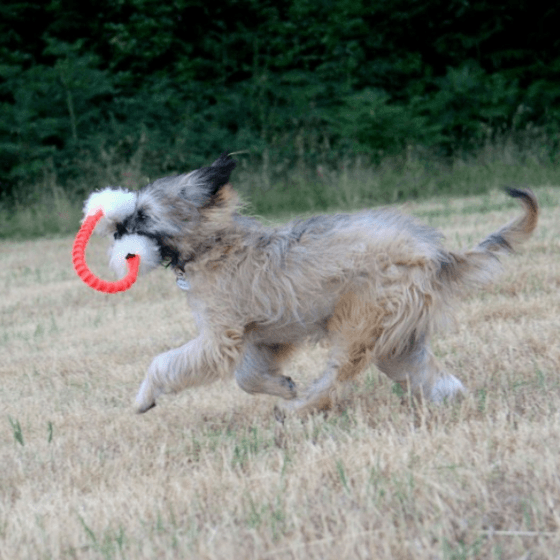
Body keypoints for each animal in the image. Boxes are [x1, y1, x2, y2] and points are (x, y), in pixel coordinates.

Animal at [83, 153, 540, 416]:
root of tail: (434, 255)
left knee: (337, 377)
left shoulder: (220, 337)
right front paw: (281, 386)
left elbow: (166, 363)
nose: (115, 230)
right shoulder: (263, 337)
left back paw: (301, 409)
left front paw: (144, 397)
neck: (212, 244)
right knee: (430, 375)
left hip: (359, 322)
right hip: (399, 342)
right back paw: (452, 402)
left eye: (143, 214)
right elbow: (247, 377)